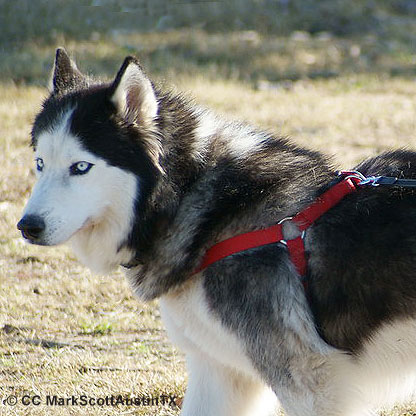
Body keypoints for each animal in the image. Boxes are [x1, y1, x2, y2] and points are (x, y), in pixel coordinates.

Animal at [18, 47, 416, 414]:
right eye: (40, 163)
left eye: (80, 167)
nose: (27, 226)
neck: (212, 217)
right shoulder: (220, 370)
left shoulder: (311, 381)